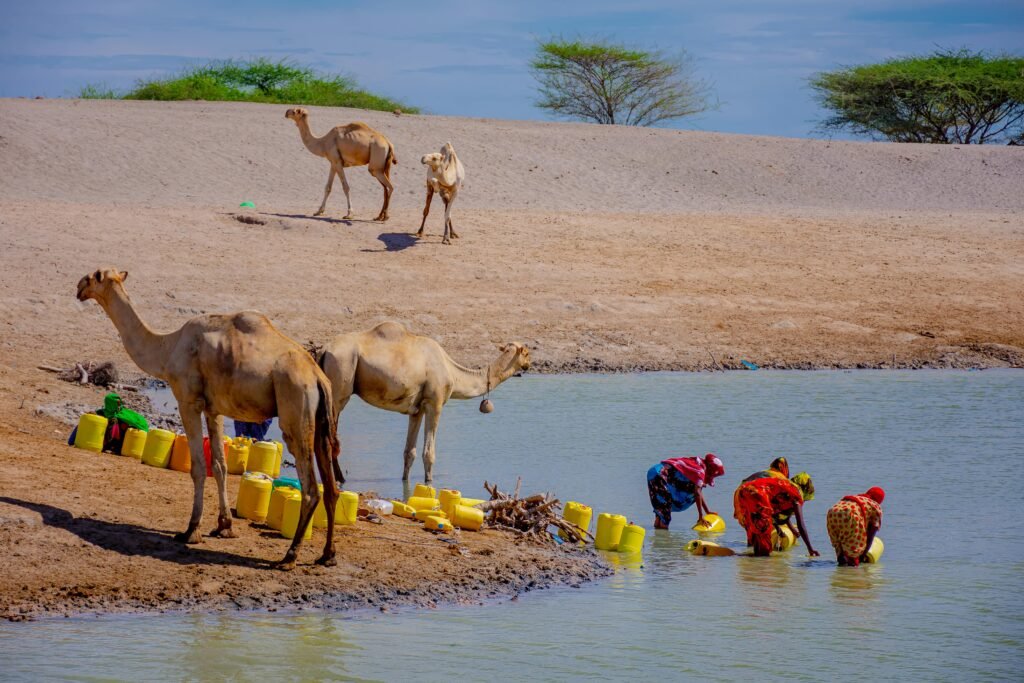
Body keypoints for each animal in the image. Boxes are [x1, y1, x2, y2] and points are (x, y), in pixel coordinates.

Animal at [76, 268, 341, 570]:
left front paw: (191, 531)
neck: (167, 347)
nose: (79, 287)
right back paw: (327, 555)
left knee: (311, 488)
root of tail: (317, 377)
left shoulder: (188, 401)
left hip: (295, 409)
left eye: (93, 276)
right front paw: (224, 526)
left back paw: (289, 556)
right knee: (331, 488)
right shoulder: (214, 409)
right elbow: (220, 464)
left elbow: (199, 467)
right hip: (322, 421)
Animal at [317, 322, 530, 482]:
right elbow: (429, 453)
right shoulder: (434, 403)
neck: (452, 370)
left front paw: (405, 483)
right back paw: (339, 480)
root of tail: (324, 350)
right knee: (329, 437)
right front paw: (429, 483)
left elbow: (409, 452)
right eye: (527, 352)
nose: (529, 364)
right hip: (340, 388)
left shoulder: (416, 409)